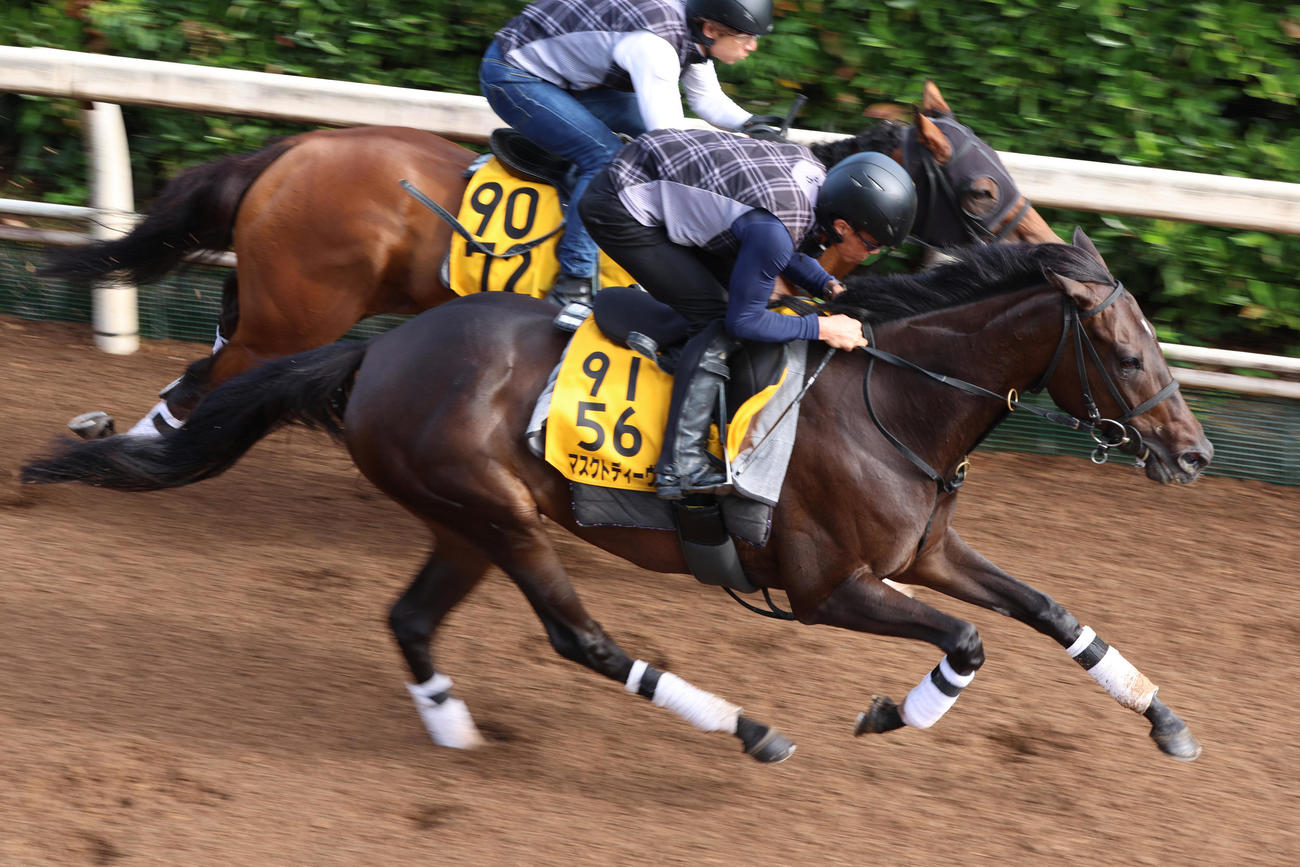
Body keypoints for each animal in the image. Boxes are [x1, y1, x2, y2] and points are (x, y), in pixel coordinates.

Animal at [23, 229, 1211, 766]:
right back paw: (746, 727)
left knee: (410, 618)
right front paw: (890, 711)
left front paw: (1165, 717)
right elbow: (968, 641)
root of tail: (376, 355)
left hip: (464, 519)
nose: (1195, 454)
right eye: (1120, 350)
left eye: (1154, 341)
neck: (893, 399)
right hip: (499, 513)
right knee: (579, 636)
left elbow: (1050, 611)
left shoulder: (921, 552)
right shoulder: (827, 586)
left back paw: (452, 725)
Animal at [41, 80, 1059, 439]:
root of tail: (283, 153)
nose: (1050, 247)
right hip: (294, 315)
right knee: (212, 382)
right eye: (979, 191)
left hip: (262, 307)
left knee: (196, 375)